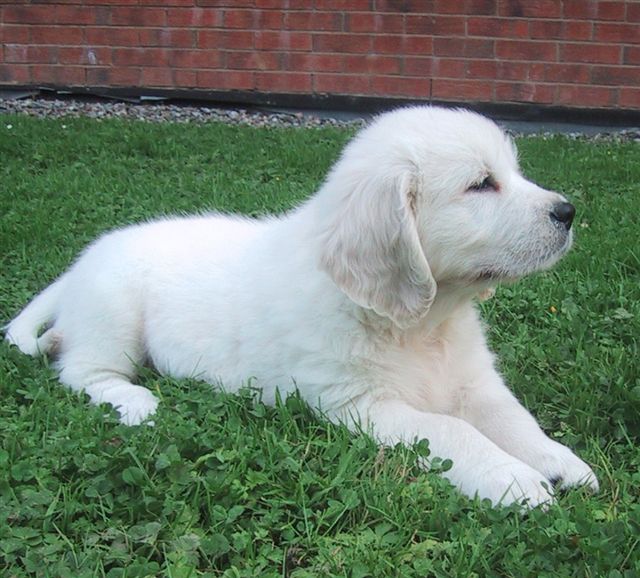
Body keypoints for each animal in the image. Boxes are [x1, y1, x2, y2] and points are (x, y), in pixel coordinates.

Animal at [5, 107, 596, 504]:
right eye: (481, 184)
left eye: (511, 173)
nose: (568, 212)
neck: (423, 324)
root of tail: (82, 263)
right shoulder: (361, 404)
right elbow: (454, 432)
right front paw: (514, 480)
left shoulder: (474, 381)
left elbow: (512, 418)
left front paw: (560, 463)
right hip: (114, 313)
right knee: (80, 370)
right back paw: (135, 401)